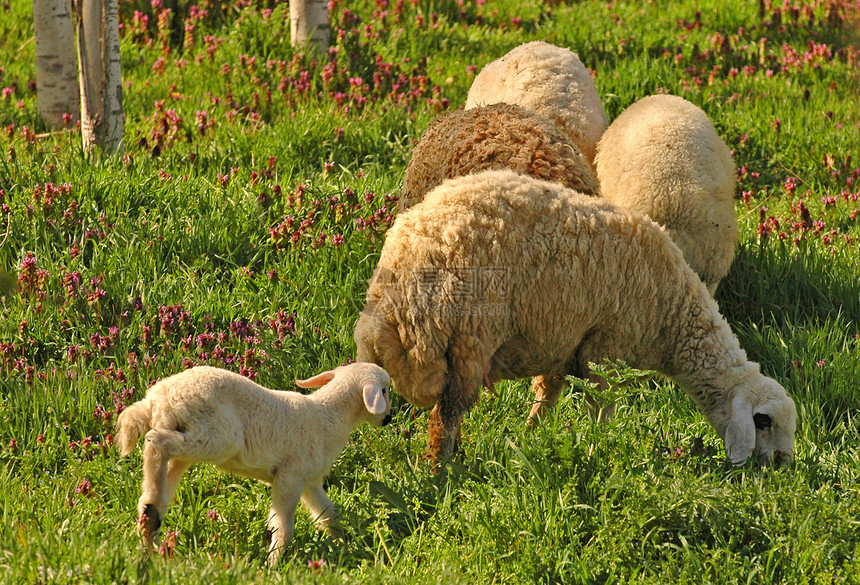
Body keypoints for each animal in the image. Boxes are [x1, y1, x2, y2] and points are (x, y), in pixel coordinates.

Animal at [116, 362, 392, 564]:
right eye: (385, 390)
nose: (388, 419)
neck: (326, 415)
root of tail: (158, 399)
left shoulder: (308, 480)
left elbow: (328, 514)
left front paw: (345, 542)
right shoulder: (290, 476)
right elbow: (283, 526)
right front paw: (273, 563)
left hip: (186, 443)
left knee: (156, 472)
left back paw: (149, 524)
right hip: (217, 436)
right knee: (159, 444)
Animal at [352, 170, 796, 470]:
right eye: (763, 421)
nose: (782, 467)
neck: (673, 318)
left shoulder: (560, 343)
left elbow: (546, 395)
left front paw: (529, 436)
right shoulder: (606, 350)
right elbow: (603, 408)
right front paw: (601, 445)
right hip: (467, 340)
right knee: (443, 419)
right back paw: (442, 471)